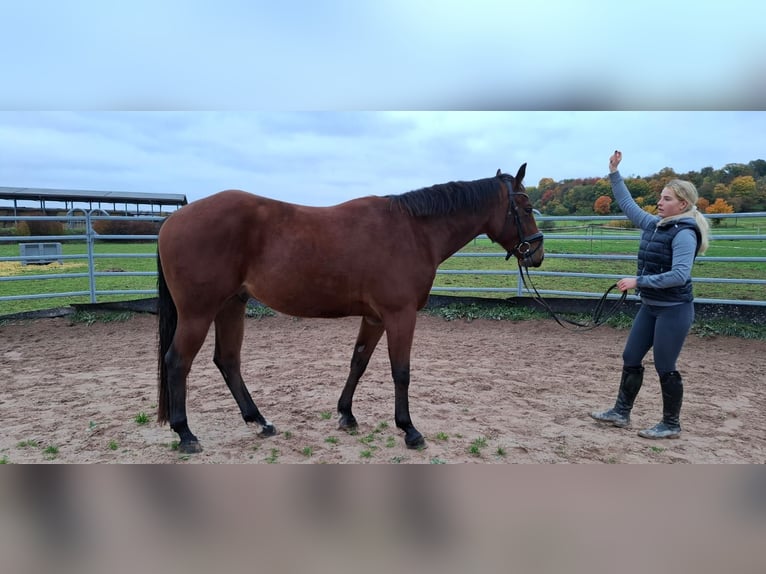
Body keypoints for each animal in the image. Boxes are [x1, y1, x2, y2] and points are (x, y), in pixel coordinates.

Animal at [156, 164, 544, 454]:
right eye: (526, 209)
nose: (537, 253)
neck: (413, 231)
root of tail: (172, 221)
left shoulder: (375, 317)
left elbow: (359, 361)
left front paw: (347, 415)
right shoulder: (400, 315)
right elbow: (401, 371)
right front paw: (409, 430)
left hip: (230, 306)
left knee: (228, 361)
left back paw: (260, 422)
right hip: (198, 313)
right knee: (177, 362)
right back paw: (185, 434)